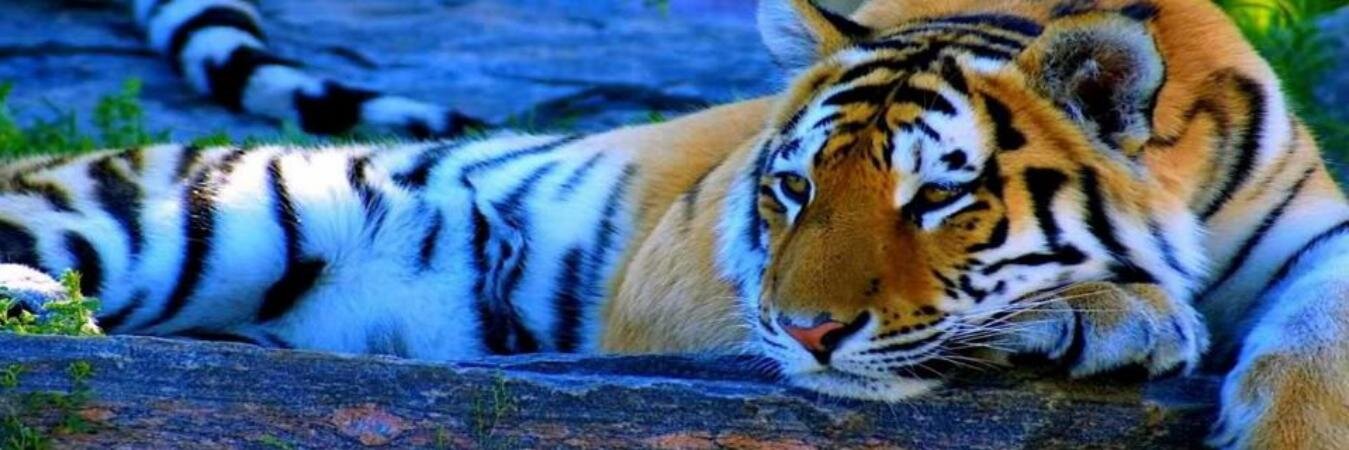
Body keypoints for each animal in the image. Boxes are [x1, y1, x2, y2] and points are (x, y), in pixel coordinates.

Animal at [2, 0, 1346, 448]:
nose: (805, 333)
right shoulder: (682, 273)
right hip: (198, 216)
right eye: (790, 191)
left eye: (936, 199)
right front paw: (1116, 311)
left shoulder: (1309, 225)